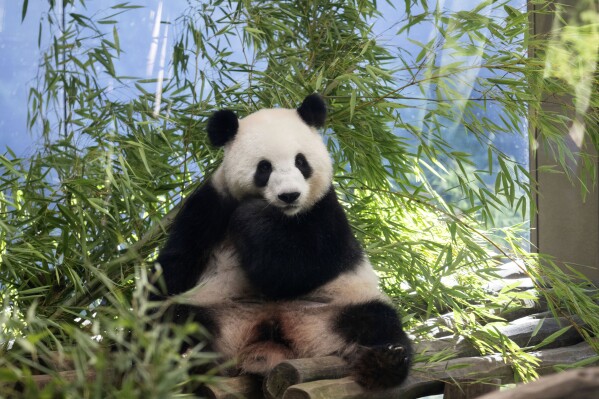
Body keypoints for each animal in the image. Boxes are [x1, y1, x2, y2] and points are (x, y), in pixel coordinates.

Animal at [156, 94, 412, 390]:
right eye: (264, 167)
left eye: (301, 162)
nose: (289, 195)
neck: (283, 217)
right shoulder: (210, 204)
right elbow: (177, 261)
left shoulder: (324, 210)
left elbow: (294, 268)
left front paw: (251, 215)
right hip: (218, 309)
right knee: (178, 320)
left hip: (336, 307)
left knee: (377, 321)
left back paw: (385, 362)